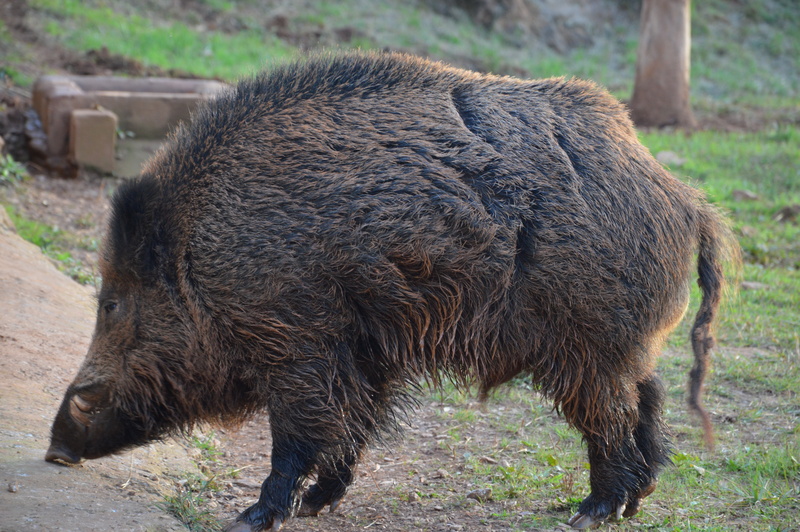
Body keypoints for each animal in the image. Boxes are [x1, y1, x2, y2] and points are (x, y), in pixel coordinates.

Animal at [45, 52, 737, 530]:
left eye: (111, 302)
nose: (55, 449)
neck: (202, 254)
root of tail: (688, 201)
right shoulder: (363, 346)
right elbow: (353, 422)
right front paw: (316, 504)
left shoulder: (298, 342)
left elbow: (299, 433)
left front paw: (252, 518)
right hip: (623, 341)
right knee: (649, 397)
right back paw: (632, 502)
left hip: (590, 342)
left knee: (613, 415)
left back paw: (589, 512)